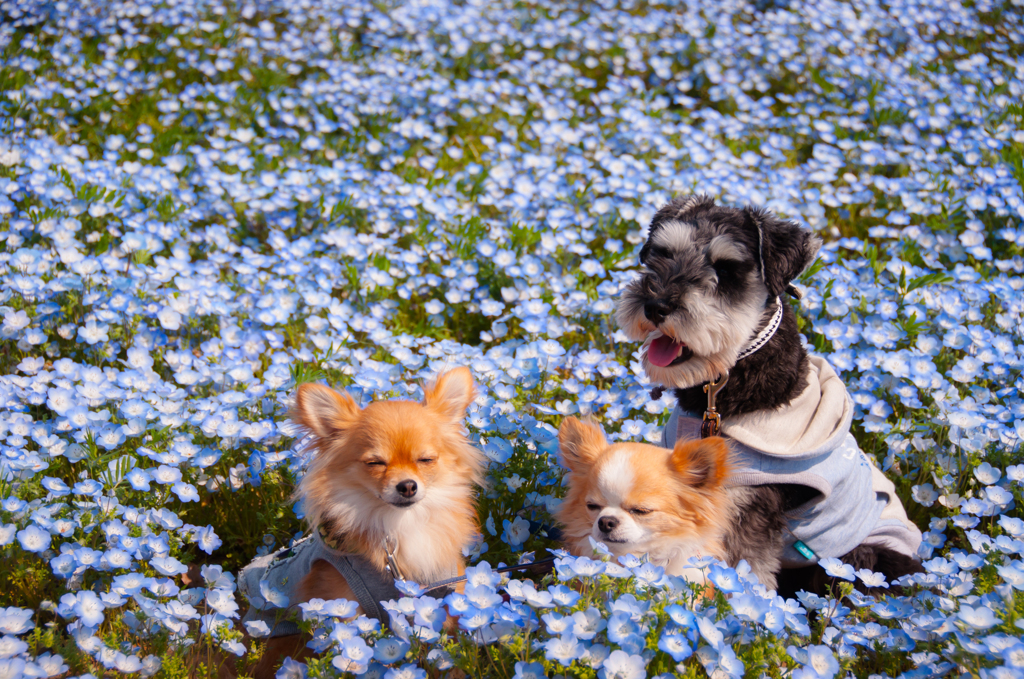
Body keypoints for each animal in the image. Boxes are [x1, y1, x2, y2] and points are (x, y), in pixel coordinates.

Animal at [618, 195, 925, 593]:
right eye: (663, 252)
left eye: (727, 269)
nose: (656, 306)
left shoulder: (751, 505)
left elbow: (748, 565)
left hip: (861, 555)